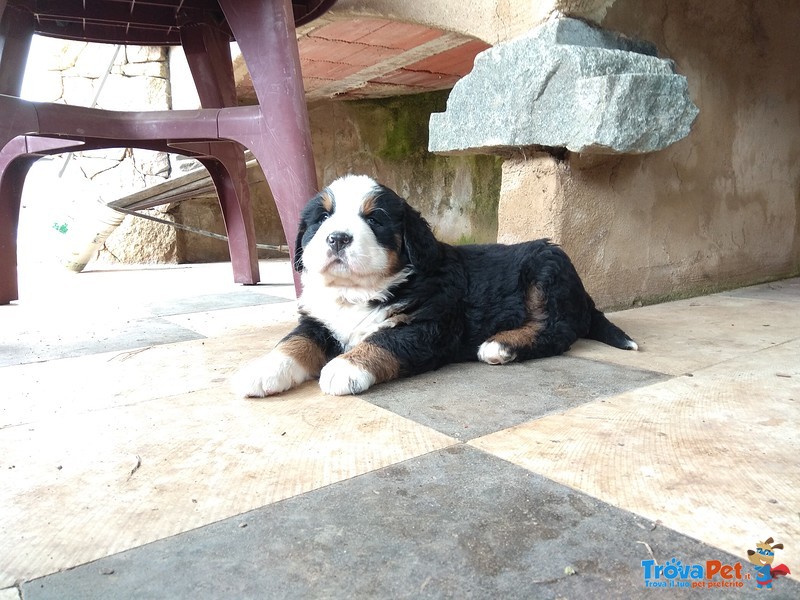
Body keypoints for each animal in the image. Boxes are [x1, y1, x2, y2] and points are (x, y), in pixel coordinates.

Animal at [233, 175, 636, 398]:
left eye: (375, 219)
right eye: (322, 218)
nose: (337, 238)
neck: (358, 292)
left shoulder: (429, 324)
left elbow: (384, 341)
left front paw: (345, 367)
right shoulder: (318, 321)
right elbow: (294, 341)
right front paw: (263, 368)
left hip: (546, 270)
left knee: (556, 330)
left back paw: (500, 346)